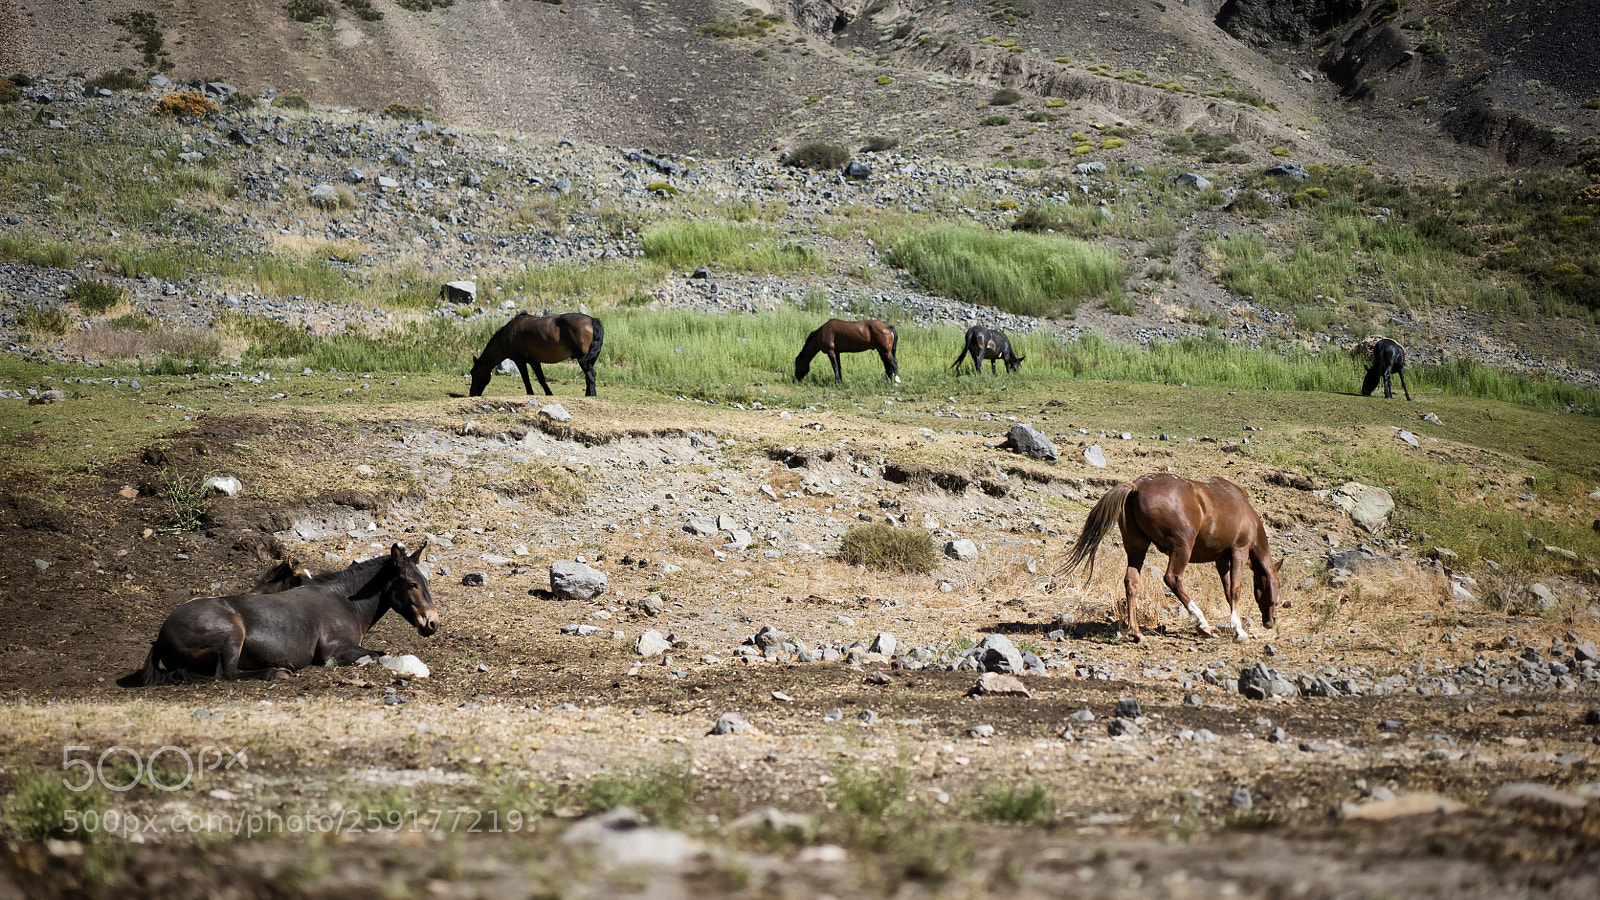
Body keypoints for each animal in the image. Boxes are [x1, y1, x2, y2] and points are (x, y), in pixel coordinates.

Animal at [117, 542, 438, 686]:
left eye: (424, 580)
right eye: (411, 583)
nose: (432, 622)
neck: (344, 602)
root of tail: (160, 636)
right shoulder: (334, 649)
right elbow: (377, 654)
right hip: (232, 638)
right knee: (225, 675)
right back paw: (277, 672)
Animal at [469, 312, 604, 398]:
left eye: (474, 373)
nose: (472, 393)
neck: (504, 337)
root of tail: (592, 320)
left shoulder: (519, 360)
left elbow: (525, 377)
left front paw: (530, 392)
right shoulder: (534, 361)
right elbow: (541, 378)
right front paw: (549, 393)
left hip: (582, 358)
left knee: (590, 375)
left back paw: (592, 395)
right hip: (588, 360)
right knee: (589, 376)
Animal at [1058, 473, 1284, 642]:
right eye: (1275, 586)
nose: (1270, 622)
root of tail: (1136, 487)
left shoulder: (1221, 559)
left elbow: (1228, 590)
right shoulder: (1239, 551)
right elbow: (1235, 589)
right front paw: (1239, 631)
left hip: (1137, 547)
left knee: (1131, 582)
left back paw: (1137, 633)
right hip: (1182, 547)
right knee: (1173, 579)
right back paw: (1202, 623)